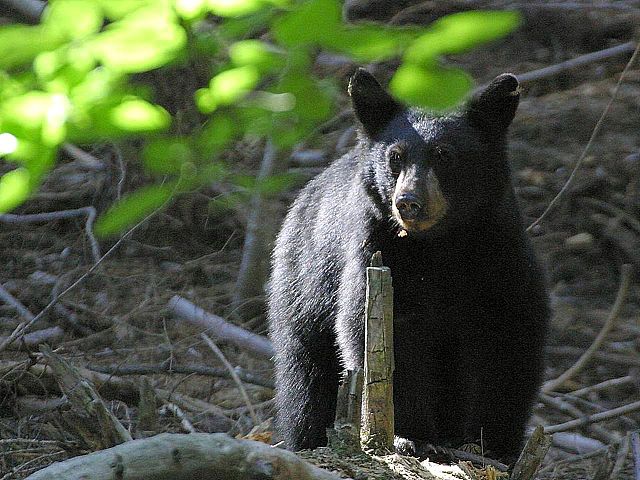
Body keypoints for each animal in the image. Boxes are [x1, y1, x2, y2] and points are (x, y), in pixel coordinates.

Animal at [267, 68, 549, 463]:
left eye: (444, 155)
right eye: (395, 157)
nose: (409, 202)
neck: (439, 245)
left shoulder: (497, 253)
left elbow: (510, 336)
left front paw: (493, 444)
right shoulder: (378, 254)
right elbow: (385, 336)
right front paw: (411, 435)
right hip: (304, 286)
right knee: (305, 375)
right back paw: (308, 436)